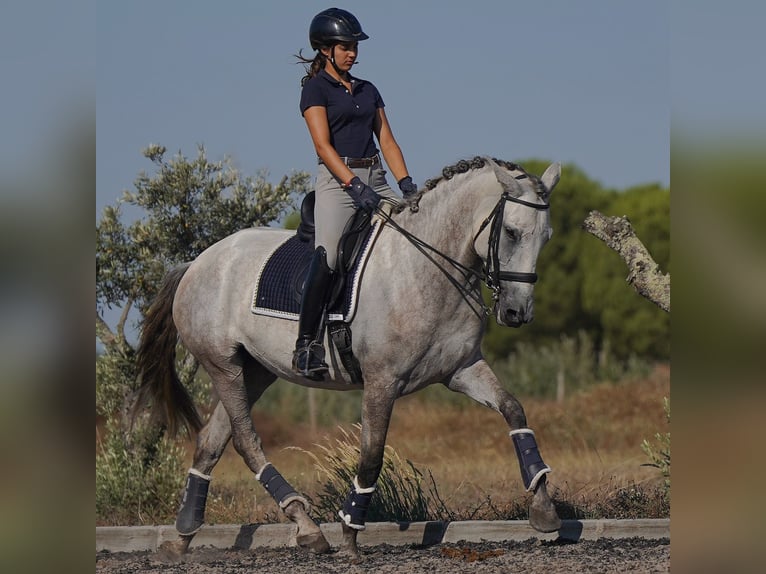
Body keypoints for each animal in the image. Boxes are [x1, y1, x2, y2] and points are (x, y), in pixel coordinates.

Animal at [134, 155, 564, 560]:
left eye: (546, 238)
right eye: (511, 233)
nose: (517, 313)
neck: (427, 268)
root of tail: (198, 262)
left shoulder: (461, 369)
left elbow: (513, 410)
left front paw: (543, 509)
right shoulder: (381, 381)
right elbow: (372, 456)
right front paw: (351, 533)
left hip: (253, 370)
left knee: (212, 440)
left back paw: (183, 536)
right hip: (223, 366)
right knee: (244, 439)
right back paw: (307, 527)